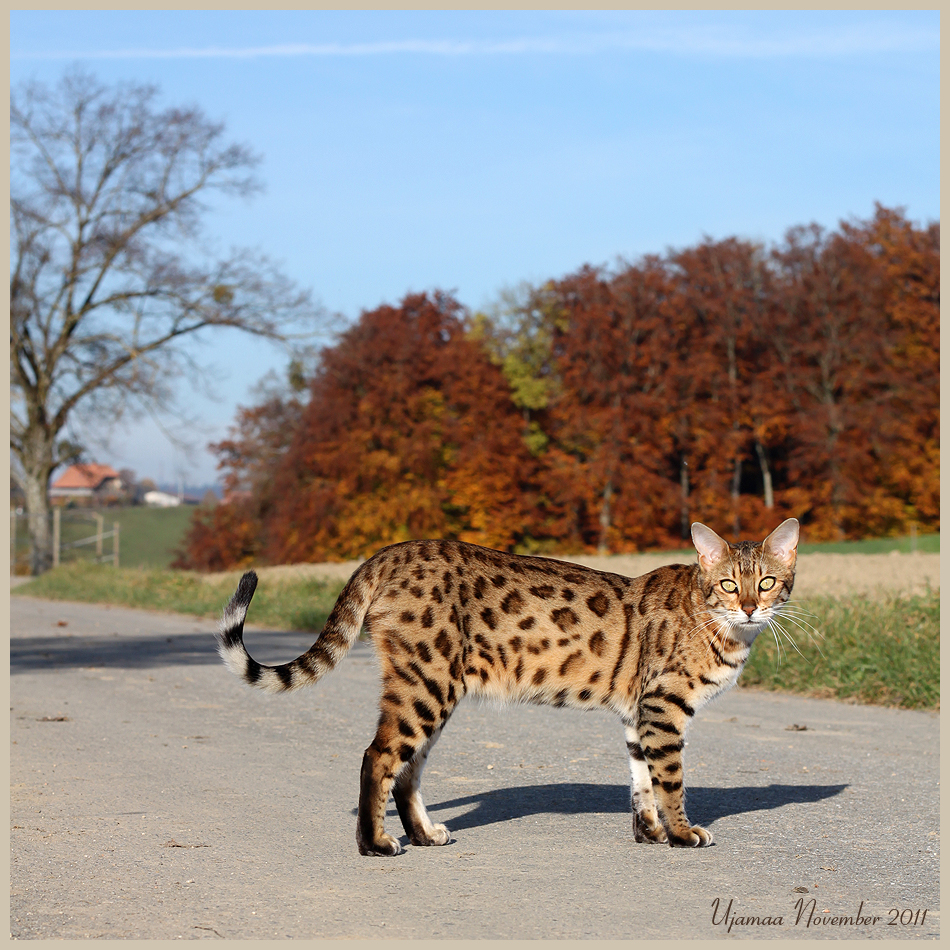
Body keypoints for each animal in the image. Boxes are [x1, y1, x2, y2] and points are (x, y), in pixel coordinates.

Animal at [218, 520, 804, 856]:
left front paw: (652, 835)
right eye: (728, 584)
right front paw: (682, 834)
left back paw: (424, 835)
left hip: (435, 687)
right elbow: (671, 781)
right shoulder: (663, 706)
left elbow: (641, 782)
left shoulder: (638, 713)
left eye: (766, 582)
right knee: (377, 755)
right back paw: (375, 842)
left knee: (408, 771)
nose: (750, 608)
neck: (719, 626)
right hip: (426, 683)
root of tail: (394, 549)